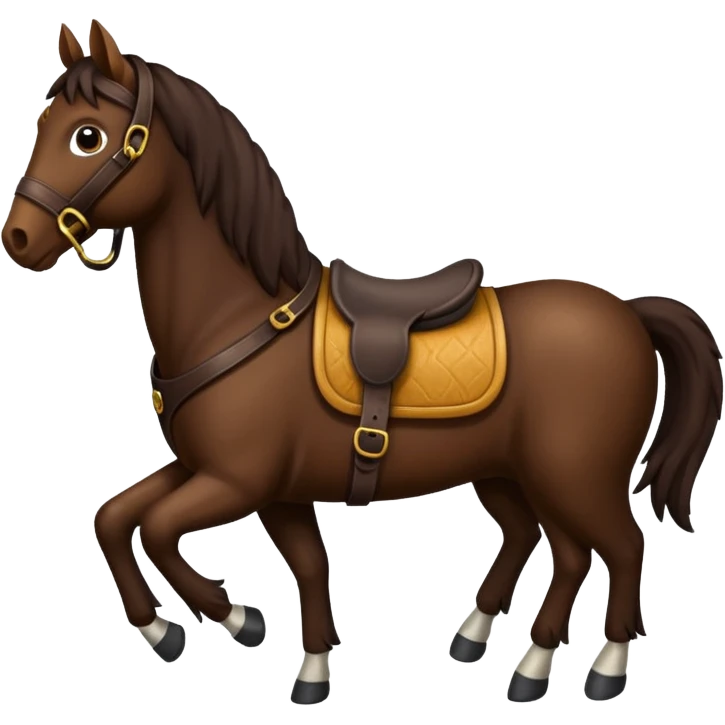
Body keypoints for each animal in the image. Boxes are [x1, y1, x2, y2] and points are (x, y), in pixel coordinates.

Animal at [2, 19, 722, 705]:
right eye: (42, 124)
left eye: (88, 136)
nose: (19, 239)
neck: (241, 320)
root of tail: (627, 313)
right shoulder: (240, 480)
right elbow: (122, 519)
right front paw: (248, 649)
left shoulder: (238, 481)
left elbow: (156, 528)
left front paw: (235, 618)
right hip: (508, 474)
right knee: (556, 548)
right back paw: (506, 653)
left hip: (575, 475)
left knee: (621, 547)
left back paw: (600, 669)